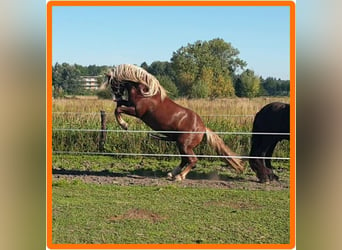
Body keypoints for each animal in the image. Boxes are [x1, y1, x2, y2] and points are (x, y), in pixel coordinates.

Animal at [100, 63, 244, 181]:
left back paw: (179, 177)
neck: (145, 92)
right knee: (185, 160)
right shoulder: (130, 104)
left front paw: (124, 125)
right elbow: (119, 105)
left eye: (112, 83)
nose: (115, 96)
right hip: (182, 145)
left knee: (192, 160)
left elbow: (118, 109)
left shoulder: (137, 111)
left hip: (184, 145)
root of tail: (203, 128)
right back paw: (171, 173)